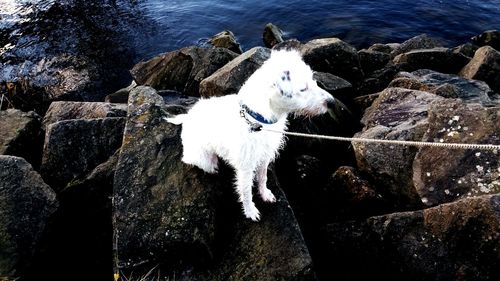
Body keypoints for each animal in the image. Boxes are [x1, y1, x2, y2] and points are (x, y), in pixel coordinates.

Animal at [168, 50, 336, 221]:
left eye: (313, 80)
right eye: (303, 88)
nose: (332, 102)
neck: (256, 120)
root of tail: (187, 117)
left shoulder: (265, 156)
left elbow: (263, 177)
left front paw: (265, 194)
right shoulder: (245, 167)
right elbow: (246, 191)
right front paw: (250, 211)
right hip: (202, 158)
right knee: (197, 162)